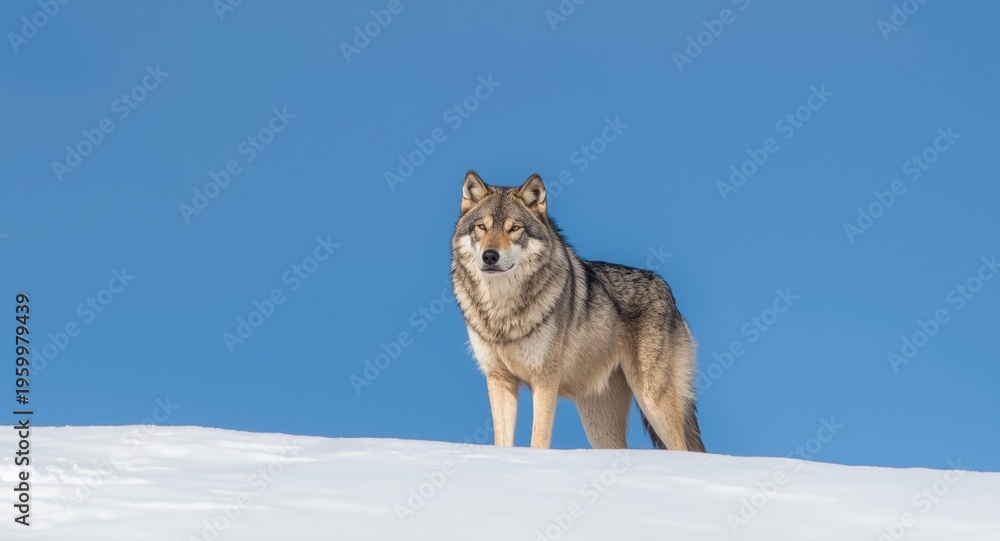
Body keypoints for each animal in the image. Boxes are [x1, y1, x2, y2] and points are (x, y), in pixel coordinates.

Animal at [451, 171, 705, 451]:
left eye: (514, 228)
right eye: (481, 227)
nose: (490, 256)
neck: (503, 308)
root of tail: (666, 290)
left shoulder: (546, 379)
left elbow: (538, 439)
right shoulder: (499, 378)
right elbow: (502, 441)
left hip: (652, 400)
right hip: (601, 426)